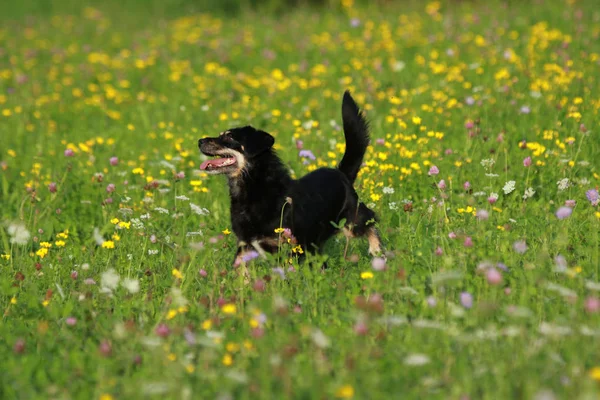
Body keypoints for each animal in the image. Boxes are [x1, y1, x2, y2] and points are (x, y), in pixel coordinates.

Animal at [199, 90, 382, 266]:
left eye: (229, 136)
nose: (200, 141)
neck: (254, 188)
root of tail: (341, 173)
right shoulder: (245, 246)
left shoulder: (291, 248)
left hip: (352, 219)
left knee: (371, 220)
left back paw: (376, 250)